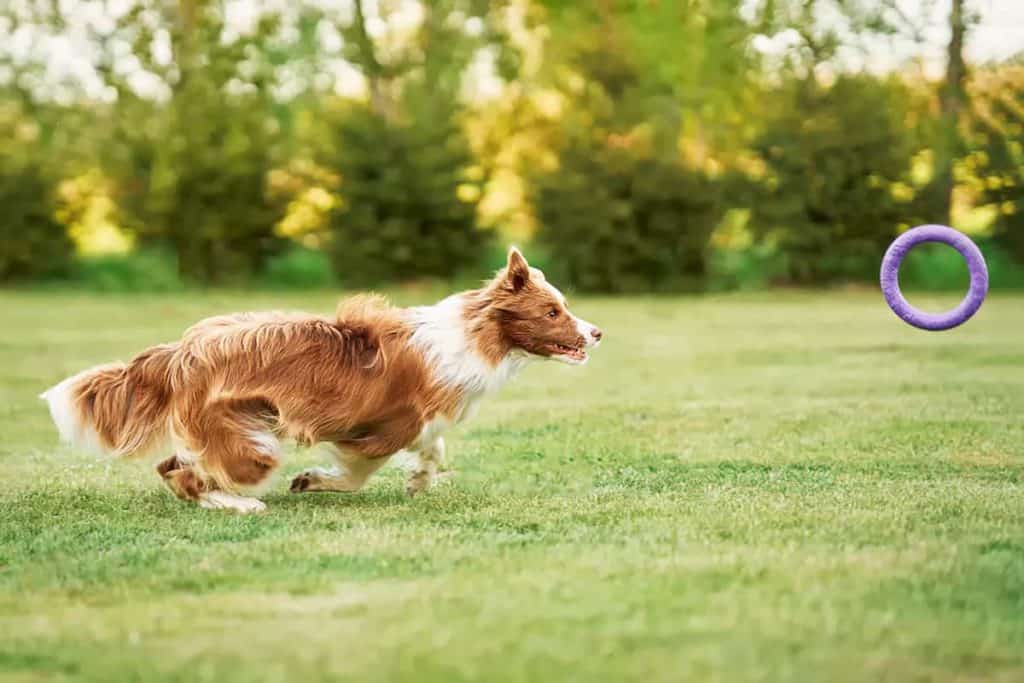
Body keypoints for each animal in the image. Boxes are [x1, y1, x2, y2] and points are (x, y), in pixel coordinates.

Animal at [37, 248, 598, 509]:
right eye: (552, 311)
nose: (597, 332)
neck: (472, 335)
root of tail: (182, 350)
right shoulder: (381, 429)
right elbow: (358, 473)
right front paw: (315, 480)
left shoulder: (419, 423)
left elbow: (434, 448)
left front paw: (419, 480)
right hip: (252, 446)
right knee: (194, 474)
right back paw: (241, 504)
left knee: (174, 466)